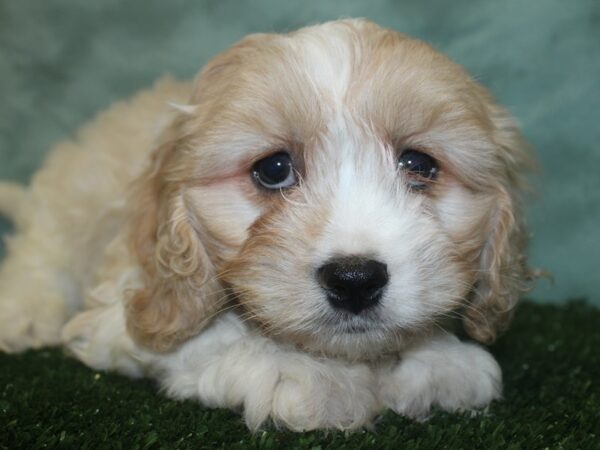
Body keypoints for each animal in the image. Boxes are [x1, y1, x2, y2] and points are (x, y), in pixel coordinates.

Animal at [0, 19, 536, 430]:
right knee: (39, 258)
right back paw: (24, 312)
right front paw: (308, 377)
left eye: (419, 165)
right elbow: (215, 338)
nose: (355, 279)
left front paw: (439, 359)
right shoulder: (126, 303)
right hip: (63, 213)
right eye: (274, 169)